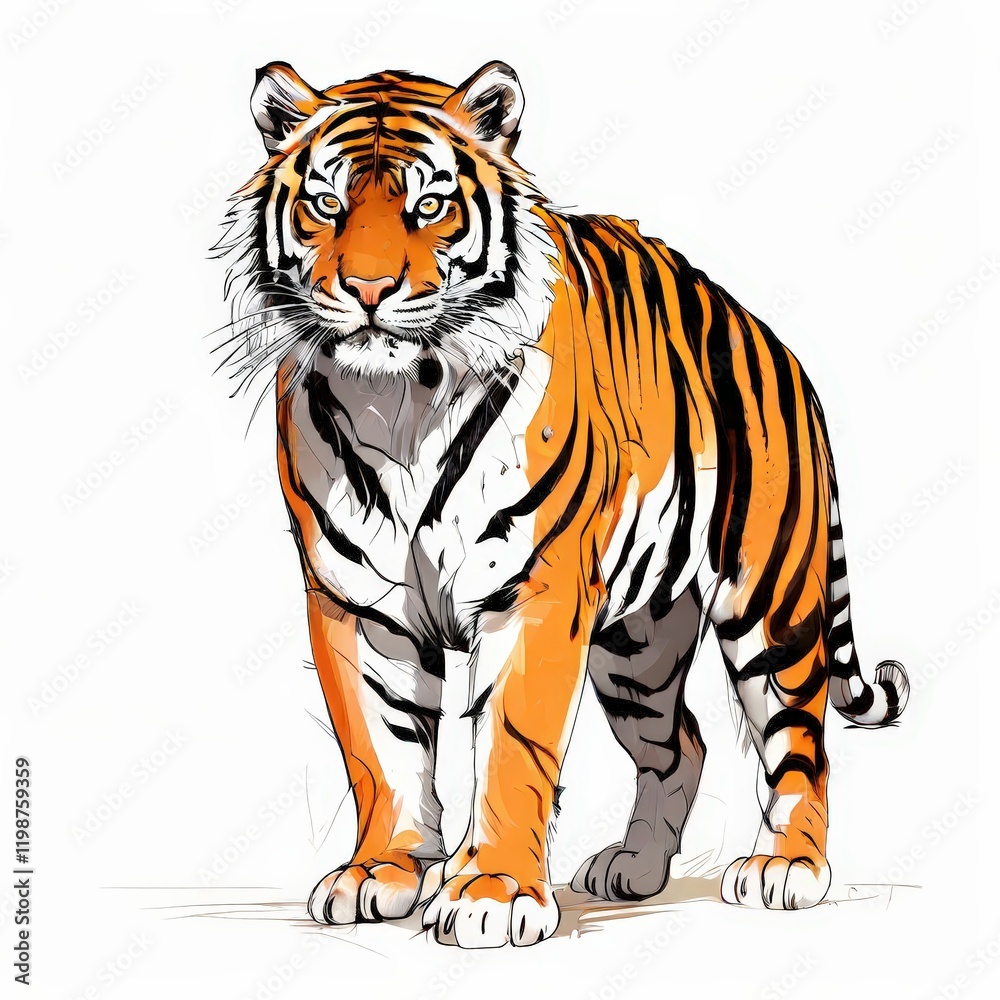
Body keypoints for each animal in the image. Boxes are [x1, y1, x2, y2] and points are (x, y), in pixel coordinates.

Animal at [216, 58, 909, 948]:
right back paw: (634, 869)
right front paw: (381, 871)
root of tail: (772, 340)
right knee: (682, 743)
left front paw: (492, 892)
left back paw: (785, 867)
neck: (398, 399)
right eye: (327, 205)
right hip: (638, 644)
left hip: (769, 602)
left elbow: (512, 746)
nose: (368, 289)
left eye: (429, 207)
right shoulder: (357, 602)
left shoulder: (532, 591)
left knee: (799, 740)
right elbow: (380, 748)